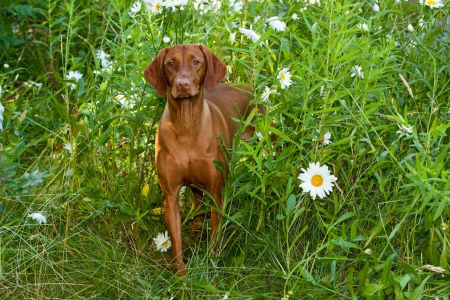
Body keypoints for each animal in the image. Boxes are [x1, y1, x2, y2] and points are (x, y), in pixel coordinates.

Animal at [144, 43, 256, 276]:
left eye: (196, 62)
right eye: (170, 63)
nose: (182, 84)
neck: (186, 124)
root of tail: (247, 86)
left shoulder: (216, 193)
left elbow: (215, 236)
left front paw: (211, 262)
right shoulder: (170, 196)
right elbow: (176, 243)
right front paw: (181, 276)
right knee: (196, 206)